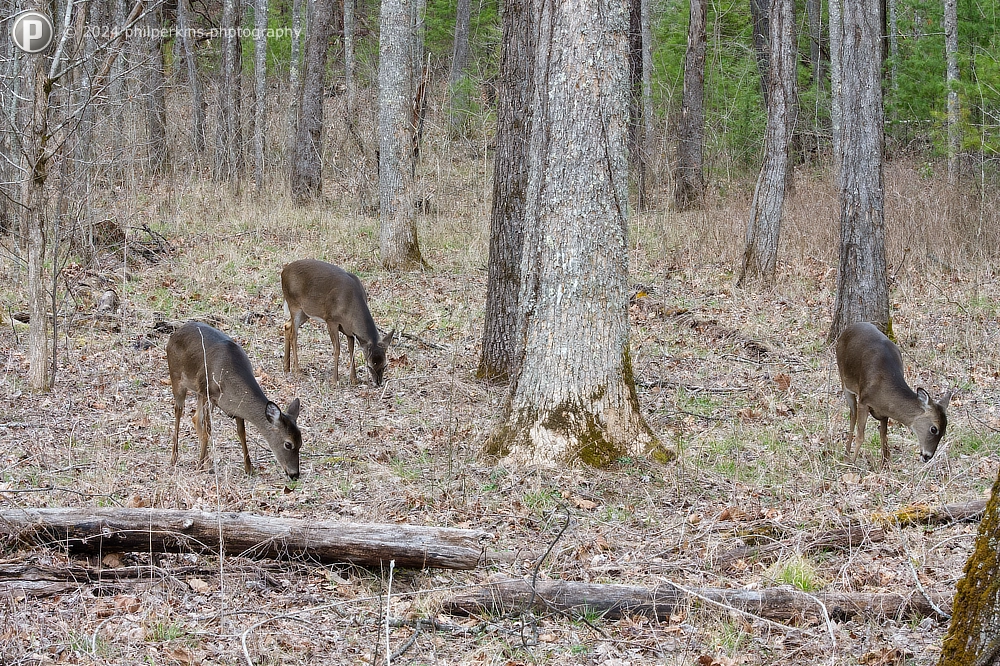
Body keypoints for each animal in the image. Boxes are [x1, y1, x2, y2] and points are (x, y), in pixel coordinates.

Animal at [166, 321, 302, 480]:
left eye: (301, 442)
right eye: (288, 444)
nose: (295, 474)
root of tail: (174, 334)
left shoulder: (235, 405)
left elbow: (241, 432)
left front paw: (249, 468)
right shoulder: (207, 391)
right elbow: (208, 430)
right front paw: (198, 466)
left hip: (200, 392)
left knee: (195, 418)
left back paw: (208, 462)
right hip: (177, 377)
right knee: (179, 411)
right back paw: (174, 458)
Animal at [835, 321, 952, 467]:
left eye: (944, 432)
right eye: (934, 429)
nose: (927, 456)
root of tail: (847, 329)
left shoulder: (884, 412)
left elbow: (883, 435)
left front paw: (885, 464)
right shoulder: (864, 401)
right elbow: (861, 436)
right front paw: (851, 464)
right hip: (844, 380)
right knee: (853, 414)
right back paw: (846, 457)